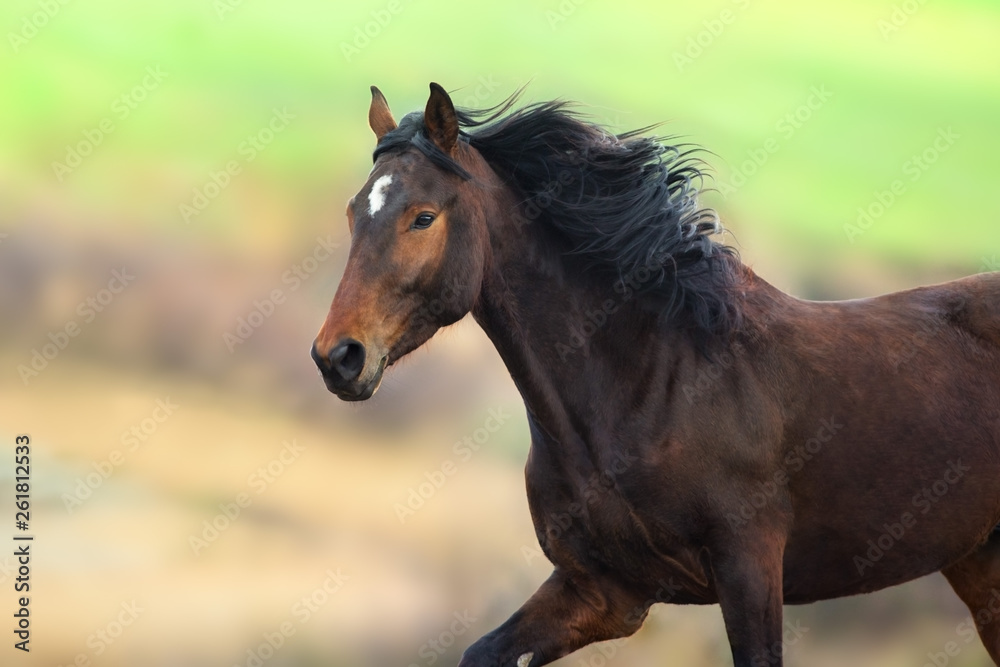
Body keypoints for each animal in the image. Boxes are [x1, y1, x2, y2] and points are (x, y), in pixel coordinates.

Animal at [311, 83, 1000, 667]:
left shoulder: (749, 568)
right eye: (352, 213)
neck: (655, 386)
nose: (338, 357)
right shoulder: (605, 589)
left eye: (423, 217)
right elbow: (483, 652)